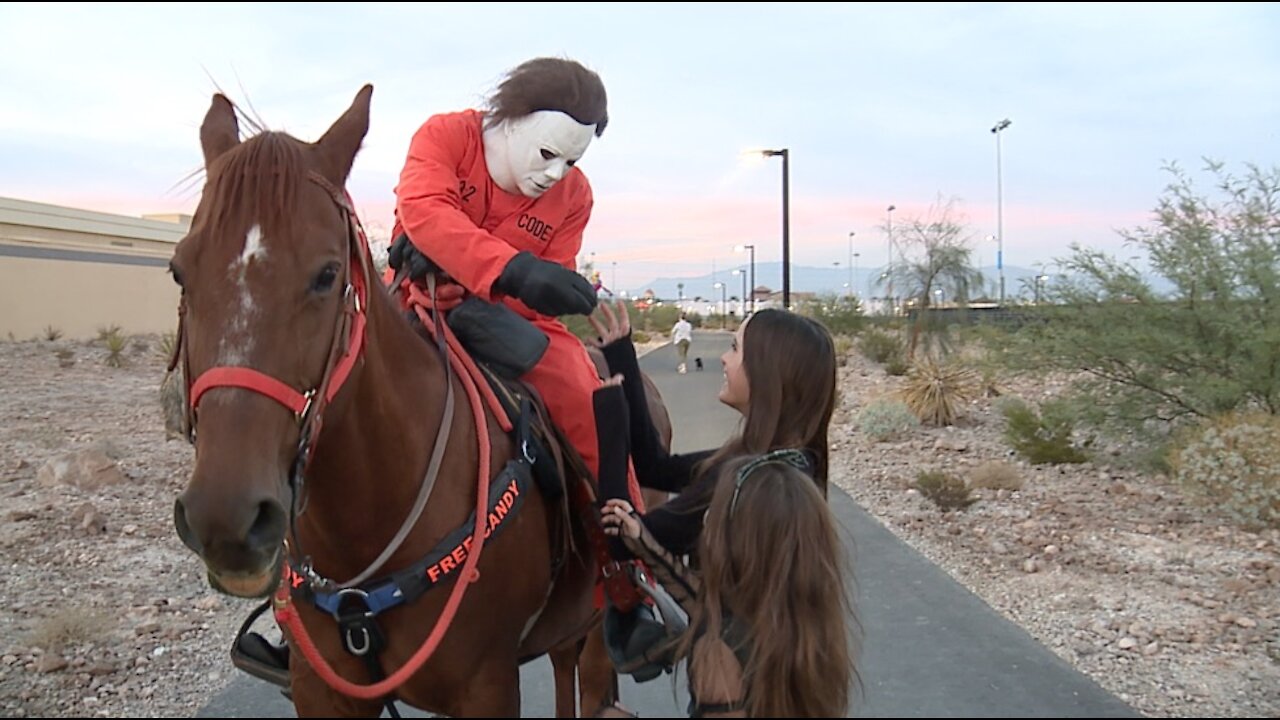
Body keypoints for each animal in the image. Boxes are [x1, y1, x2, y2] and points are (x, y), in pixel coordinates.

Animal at [168, 87, 670, 712]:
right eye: (179, 271)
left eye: (327, 274)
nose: (227, 518)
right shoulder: (321, 691)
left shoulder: (486, 688)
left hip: (599, 625)